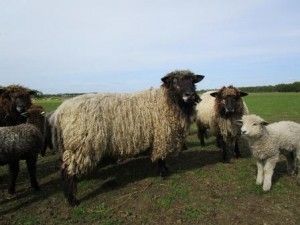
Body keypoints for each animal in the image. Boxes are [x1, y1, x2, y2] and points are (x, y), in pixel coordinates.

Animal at [51, 70, 204, 206]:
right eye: (174, 81)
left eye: (193, 81)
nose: (190, 95)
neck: (167, 101)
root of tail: (59, 112)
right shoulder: (161, 137)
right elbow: (161, 157)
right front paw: (163, 173)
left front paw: (165, 169)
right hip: (81, 144)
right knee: (67, 171)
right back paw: (72, 200)